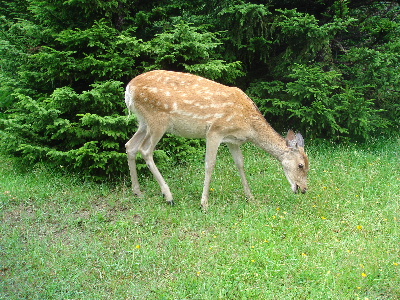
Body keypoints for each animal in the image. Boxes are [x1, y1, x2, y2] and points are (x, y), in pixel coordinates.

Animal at [125, 70, 310, 211]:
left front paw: (250, 197)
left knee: (130, 145)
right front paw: (204, 204)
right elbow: (210, 165)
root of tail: (128, 90)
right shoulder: (215, 131)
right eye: (301, 165)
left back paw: (137, 192)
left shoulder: (232, 140)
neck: (248, 125)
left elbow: (240, 164)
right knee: (145, 150)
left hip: (143, 122)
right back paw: (168, 196)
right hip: (157, 119)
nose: (303, 189)